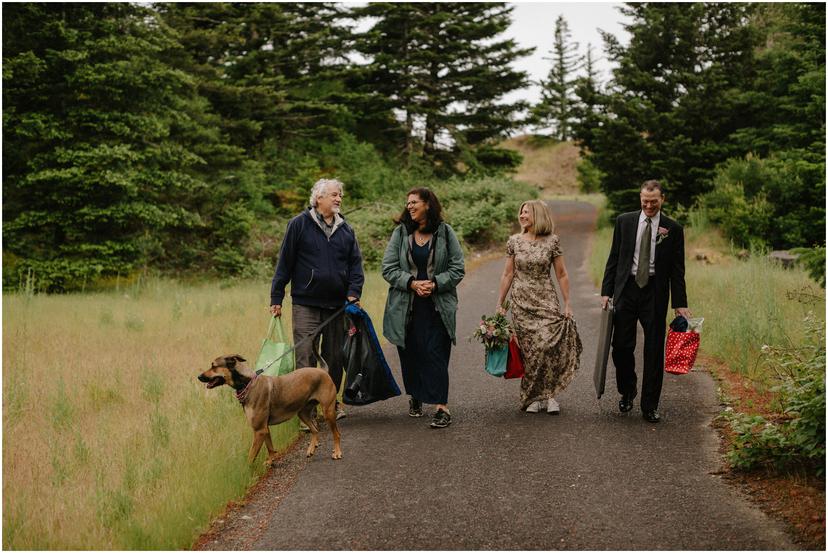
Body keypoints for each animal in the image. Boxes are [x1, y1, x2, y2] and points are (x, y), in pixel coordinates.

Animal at [196, 354, 342, 462]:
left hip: (328, 411)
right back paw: (311, 449)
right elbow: (270, 447)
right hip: (302, 413)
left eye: (213, 366)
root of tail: (322, 371)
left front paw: (248, 472)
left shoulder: (259, 430)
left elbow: (250, 457)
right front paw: (271, 461)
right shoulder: (264, 429)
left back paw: (337, 452)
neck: (246, 383)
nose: (199, 377)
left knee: (336, 434)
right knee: (315, 430)